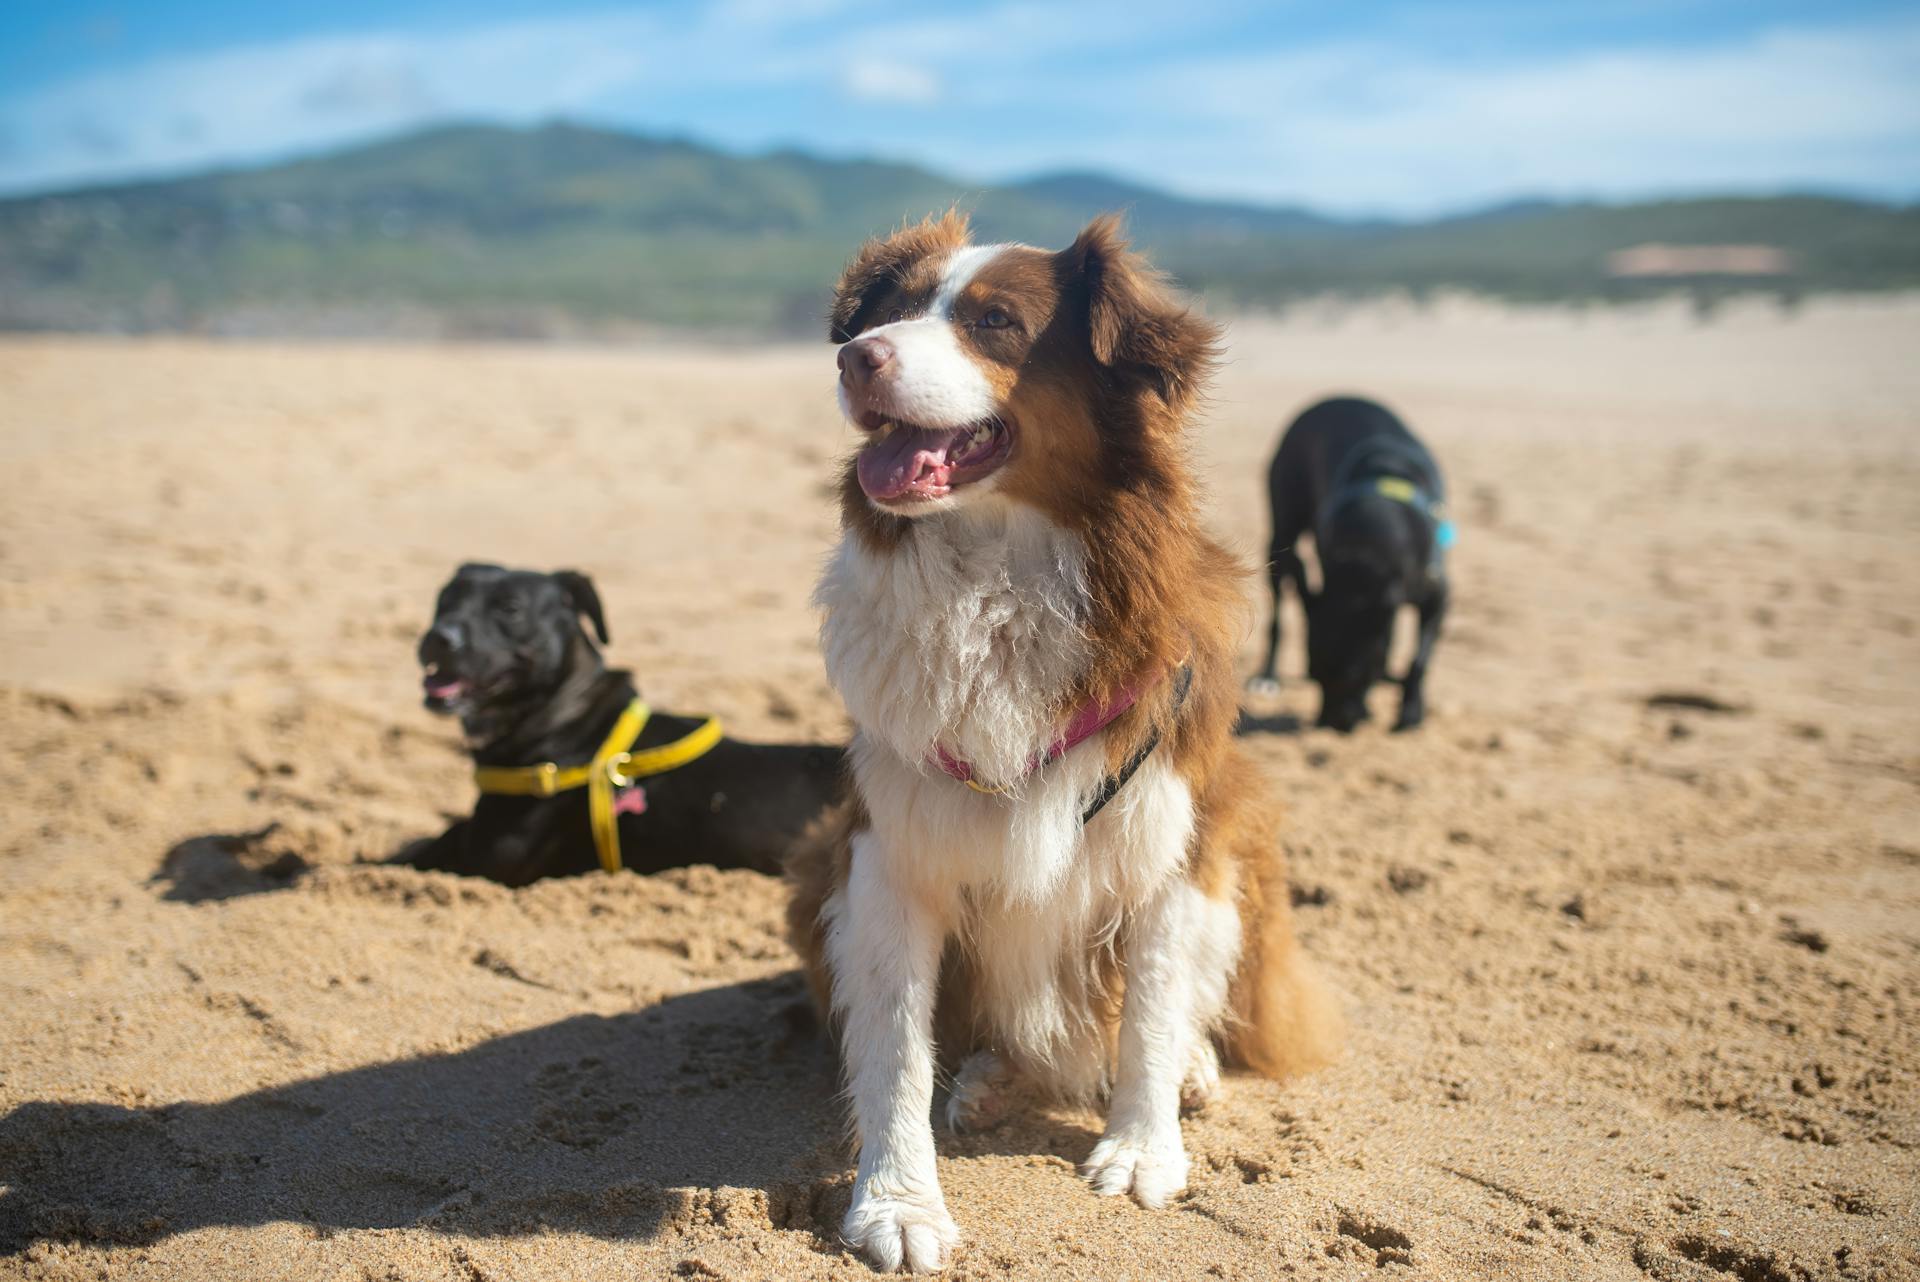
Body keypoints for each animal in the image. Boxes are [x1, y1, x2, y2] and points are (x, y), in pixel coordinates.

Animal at [787, 214, 1344, 1266]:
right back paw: (991, 1079)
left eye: (996, 323)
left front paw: (1141, 1147)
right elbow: (896, 1046)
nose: (854, 356)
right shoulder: (884, 850)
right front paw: (899, 1203)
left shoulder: (1174, 838)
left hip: (1243, 834)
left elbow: (1153, 1010)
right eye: (887, 312)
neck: (998, 571)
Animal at [1251, 401, 1443, 736]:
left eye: (1356, 675)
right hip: (1281, 534)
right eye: (1315, 674)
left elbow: (1418, 659)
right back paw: (1268, 676)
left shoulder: (1437, 596)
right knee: (1277, 619)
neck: (1364, 555)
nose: (1330, 725)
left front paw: (1411, 711)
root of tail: (1331, 399)